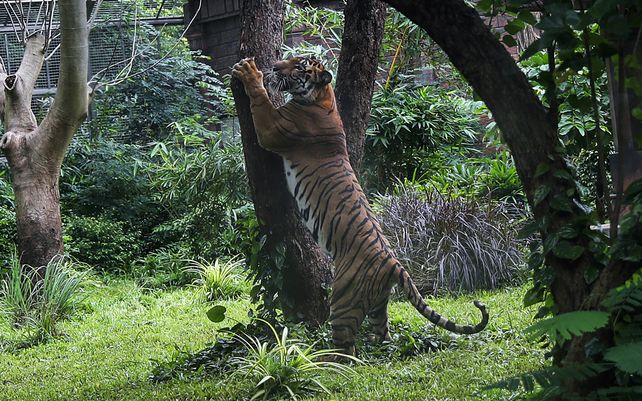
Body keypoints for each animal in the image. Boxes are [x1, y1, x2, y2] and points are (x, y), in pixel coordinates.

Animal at [232, 56, 489, 355]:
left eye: (299, 66)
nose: (274, 67)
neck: (322, 97)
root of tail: (395, 264)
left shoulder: (272, 129)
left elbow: (260, 99)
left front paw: (249, 72)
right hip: (378, 305)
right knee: (384, 336)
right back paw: (376, 346)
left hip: (343, 300)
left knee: (347, 350)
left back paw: (324, 359)